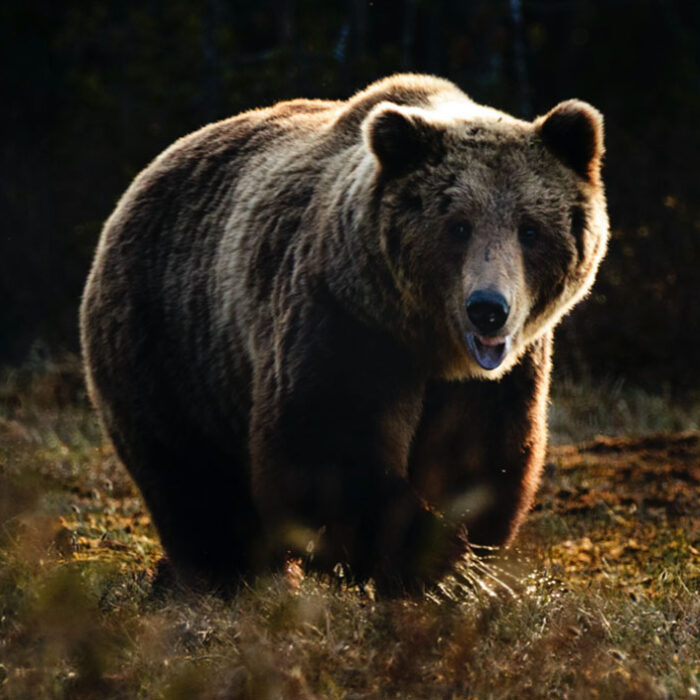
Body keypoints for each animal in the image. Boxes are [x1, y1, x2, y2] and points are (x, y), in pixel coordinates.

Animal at [80, 74, 609, 594]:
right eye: (458, 226)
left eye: (530, 229)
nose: (488, 310)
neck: (428, 342)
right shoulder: (344, 321)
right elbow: (327, 451)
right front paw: (413, 557)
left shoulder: (500, 376)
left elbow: (480, 457)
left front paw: (453, 561)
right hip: (170, 339)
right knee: (192, 476)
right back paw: (225, 574)